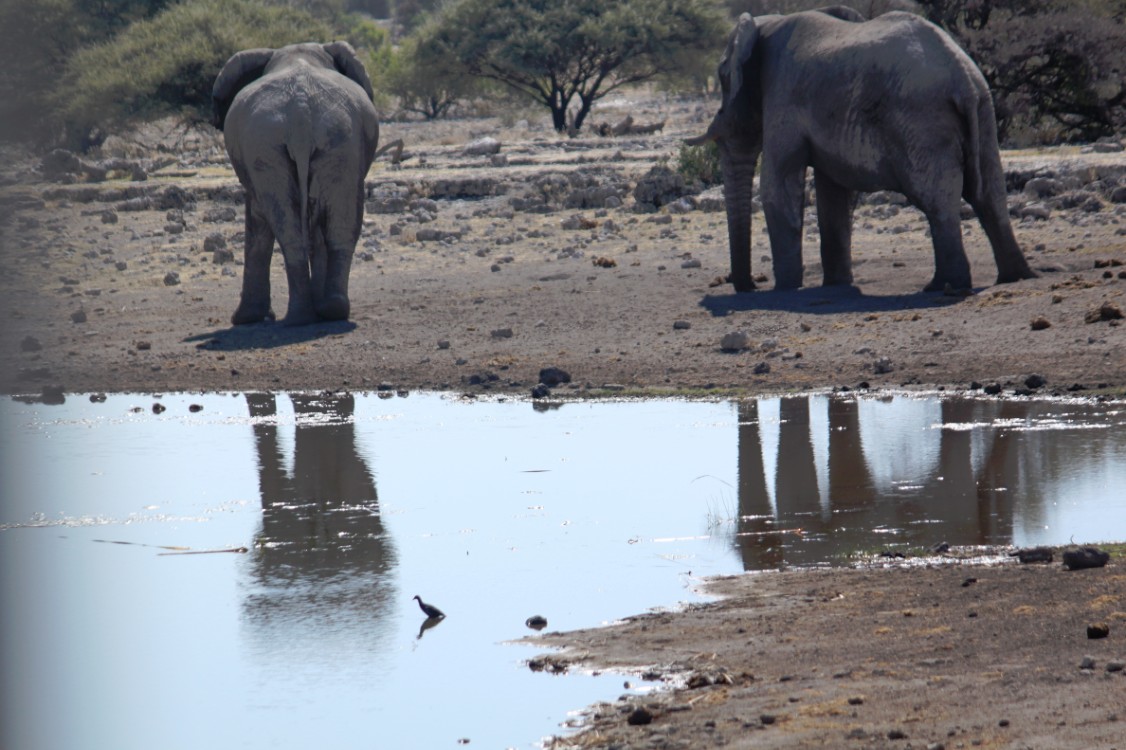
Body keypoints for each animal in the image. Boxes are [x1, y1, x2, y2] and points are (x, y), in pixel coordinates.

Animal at [212, 40, 380, 322]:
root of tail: (301, 113)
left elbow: (257, 221)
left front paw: (245, 320)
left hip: (271, 144)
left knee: (289, 225)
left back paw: (304, 317)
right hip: (334, 139)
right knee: (337, 222)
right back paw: (327, 310)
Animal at [689, 9, 1040, 295]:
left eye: (723, 78)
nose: (749, 285)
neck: (766, 25)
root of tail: (964, 76)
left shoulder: (783, 98)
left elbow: (777, 186)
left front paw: (786, 289)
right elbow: (835, 192)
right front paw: (835, 284)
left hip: (922, 122)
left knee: (936, 199)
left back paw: (948, 286)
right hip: (983, 109)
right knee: (990, 195)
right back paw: (1014, 277)